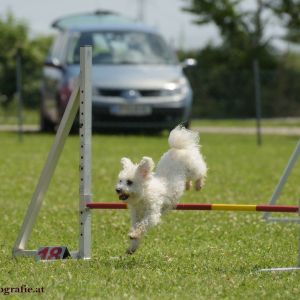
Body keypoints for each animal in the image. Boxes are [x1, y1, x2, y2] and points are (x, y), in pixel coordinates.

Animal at [115, 125, 206, 254]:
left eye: (129, 182)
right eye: (120, 181)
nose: (118, 190)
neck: (144, 195)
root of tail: (178, 148)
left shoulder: (152, 214)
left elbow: (142, 225)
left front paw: (134, 234)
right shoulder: (136, 216)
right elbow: (136, 226)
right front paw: (132, 246)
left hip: (193, 168)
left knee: (201, 172)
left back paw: (198, 185)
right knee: (189, 179)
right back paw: (188, 185)